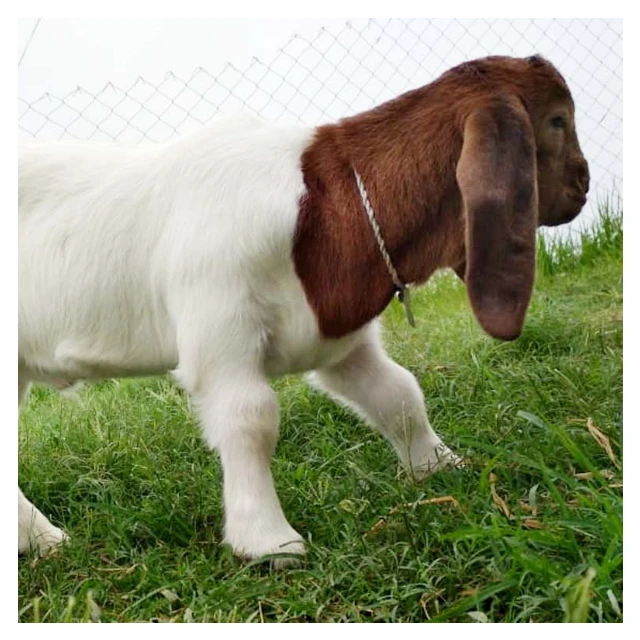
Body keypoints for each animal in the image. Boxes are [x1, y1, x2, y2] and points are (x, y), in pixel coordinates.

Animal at [18, 55, 590, 566]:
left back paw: (41, 541)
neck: (322, 204)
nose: (584, 185)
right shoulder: (220, 326)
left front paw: (441, 468)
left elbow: (398, 394)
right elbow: (250, 419)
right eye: (557, 120)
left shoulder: (337, 337)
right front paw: (268, 542)